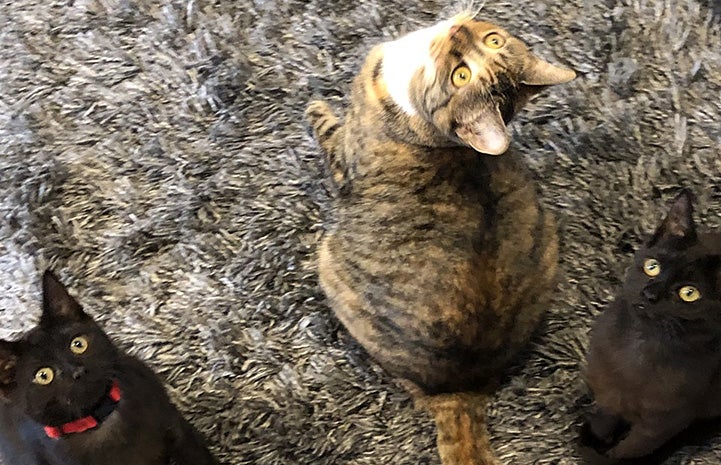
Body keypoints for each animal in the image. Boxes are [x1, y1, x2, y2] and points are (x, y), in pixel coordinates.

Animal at [304, 12, 572, 462]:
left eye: (460, 75)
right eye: (493, 39)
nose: (457, 32)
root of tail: (461, 391)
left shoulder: (345, 156)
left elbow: (328, 126)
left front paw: (314, 103)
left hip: (328, 265)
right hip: (548, 238)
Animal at [584, 188, 720, 456]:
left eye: (689, 293)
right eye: (652, 267)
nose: (649, 294)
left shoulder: (661, 425)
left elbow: (628, 450)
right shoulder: (606, 391)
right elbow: (603, 420)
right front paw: (598, 439)